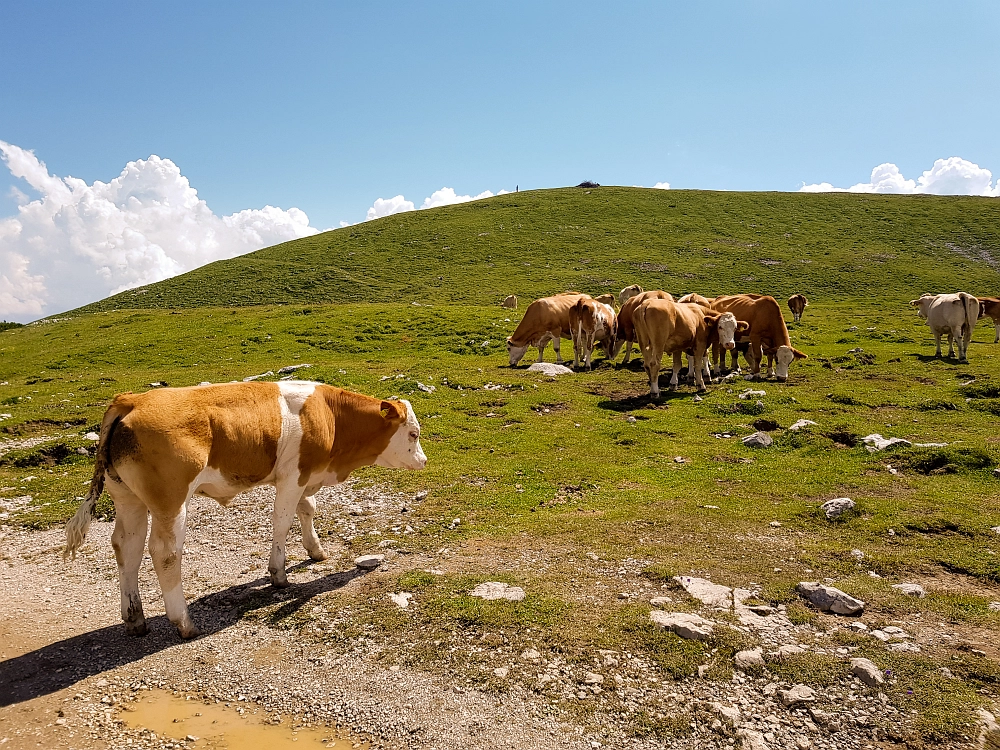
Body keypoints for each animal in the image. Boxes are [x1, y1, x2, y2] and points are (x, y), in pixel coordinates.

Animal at [65, 382, 426, 640]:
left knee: (127, 547)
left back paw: (135, 618)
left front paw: (315, 550)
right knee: (164, 552)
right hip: (171, 501)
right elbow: (282, 522)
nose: (423, 461)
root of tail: (132, 399)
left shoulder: (303, 476)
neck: (329, 415)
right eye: (413, 433)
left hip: (128, 499)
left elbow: (306, 509)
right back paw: (184, 622)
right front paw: (279, 574)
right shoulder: (293, 477)